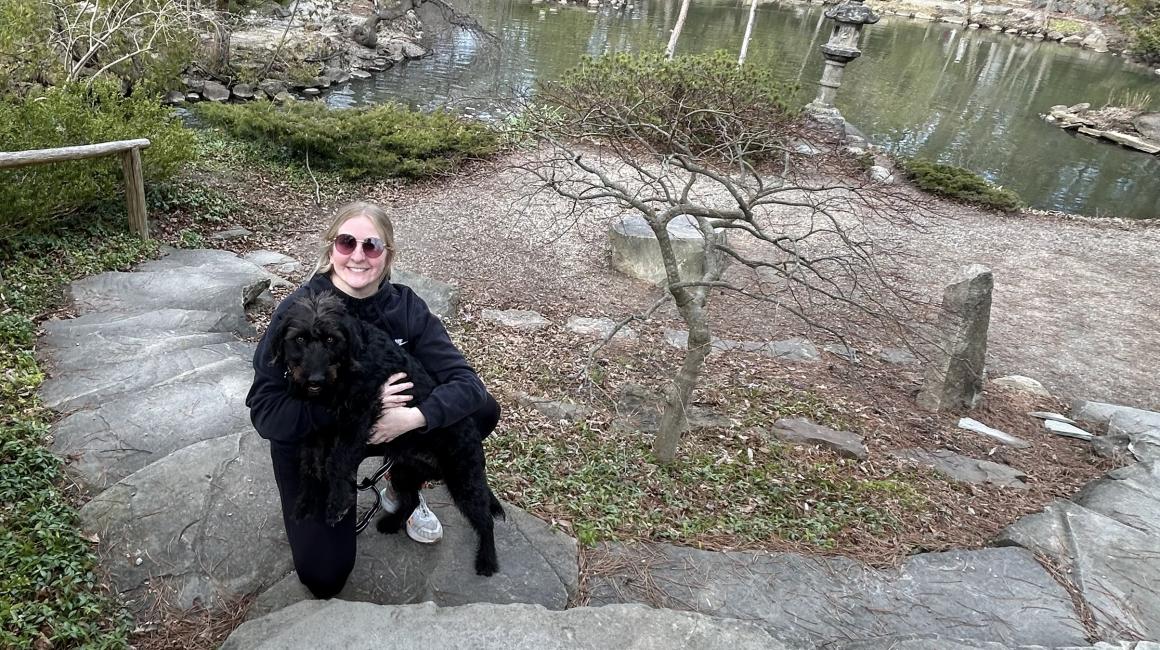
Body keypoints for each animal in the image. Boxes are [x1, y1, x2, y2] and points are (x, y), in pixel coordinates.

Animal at [273, 290, 510, 573]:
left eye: (331, 339)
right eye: (299, 339)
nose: (314, 381)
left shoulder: (358, 416)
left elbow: (336, 461)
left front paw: (337, 502)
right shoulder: (315, 425)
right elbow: (310, 465)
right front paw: (307, 501)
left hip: (464, 481)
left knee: (485, 520)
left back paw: (487, 559)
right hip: (405, 471)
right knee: (410, 501)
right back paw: (392, 523)